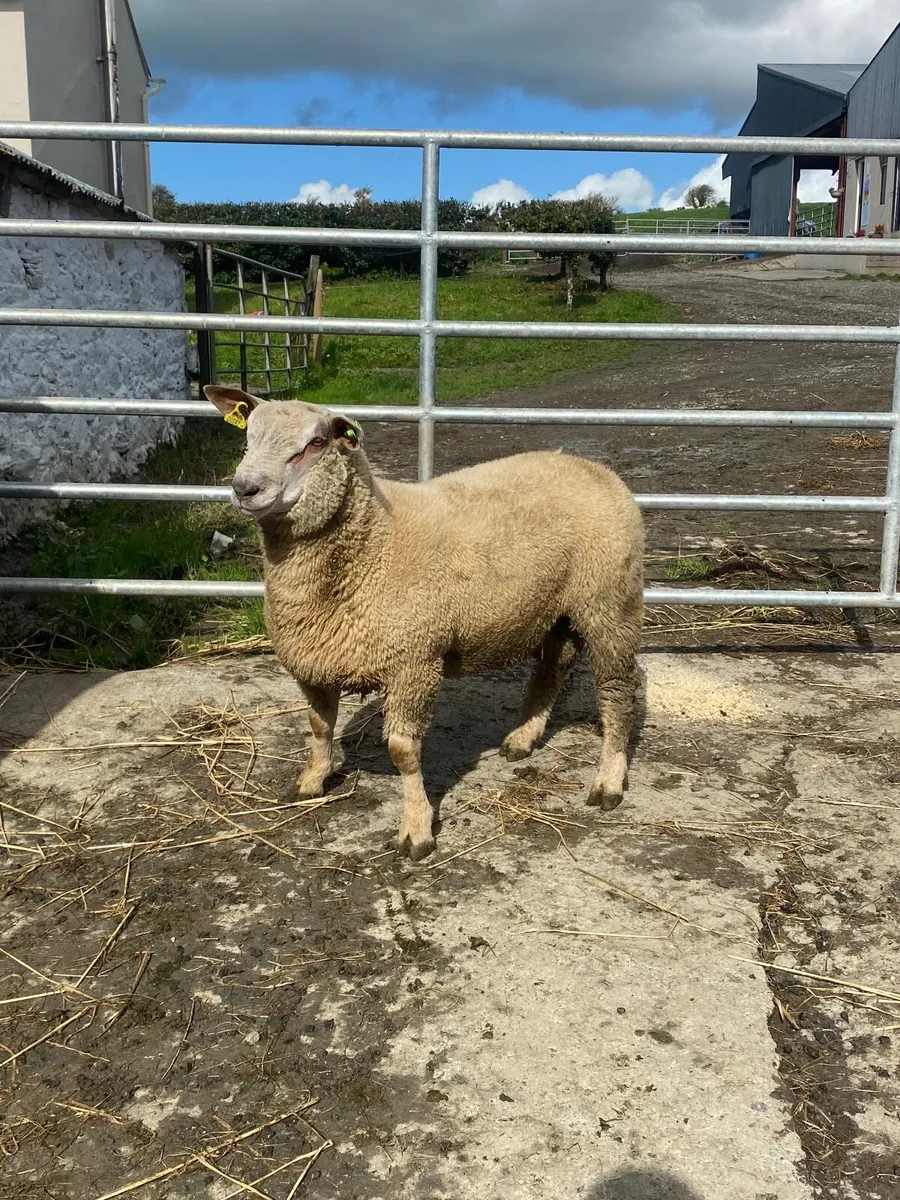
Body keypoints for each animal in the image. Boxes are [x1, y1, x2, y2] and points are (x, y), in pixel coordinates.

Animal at [205, 385, 644, 861]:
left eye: (316, 443)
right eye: (248, 435)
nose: (245, 488)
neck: (374, 541)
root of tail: (593, 467)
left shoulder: (413, 663)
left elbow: (403, 752)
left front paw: (416, 830)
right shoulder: (315, 660)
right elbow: (319, 728)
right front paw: (311, 781)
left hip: (609, 601)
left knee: (617, 691)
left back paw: (608, 781)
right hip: (557, 609)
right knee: (552, 668)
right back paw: (523, 739)